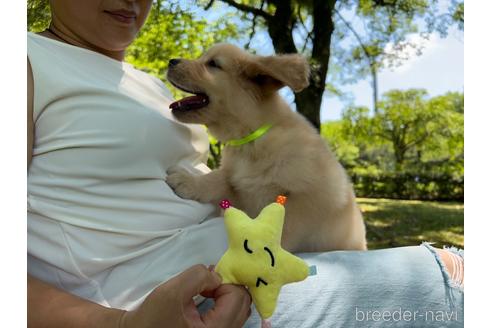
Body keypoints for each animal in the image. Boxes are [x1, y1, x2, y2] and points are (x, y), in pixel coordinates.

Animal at [165, 43, 366, 252]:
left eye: (213, 64)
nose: (171, 61)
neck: (250, 141)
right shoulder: (237, 184)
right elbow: (218, 178)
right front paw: (190, 181)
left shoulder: (312, 197)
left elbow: (283, 226)